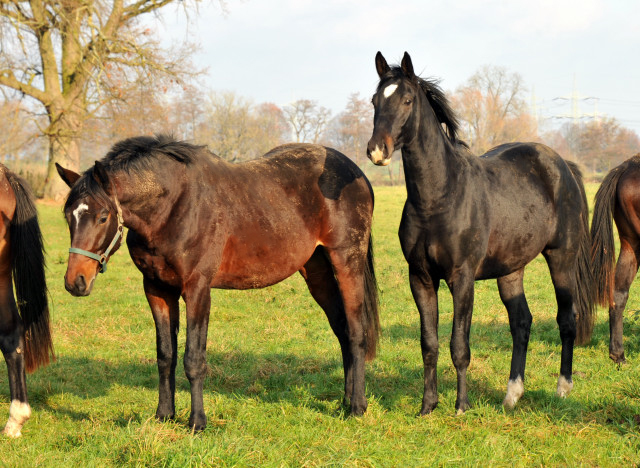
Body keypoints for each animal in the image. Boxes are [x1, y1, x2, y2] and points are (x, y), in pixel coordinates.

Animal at [56, 134, 380, 432]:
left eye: (102, 217)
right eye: (68, 217)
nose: (76, 282)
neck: (174, 206)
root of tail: (357, 173)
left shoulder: (197, 289)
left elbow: (193, 359)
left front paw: (197, 422)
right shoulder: (157, 289)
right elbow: (165, 355)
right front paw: (164, 415)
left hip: (346, 262)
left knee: (355, 332)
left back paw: (357, 406)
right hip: (318, 272)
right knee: (342, 331)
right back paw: (345, 399)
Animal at [368, 51, 596, 414]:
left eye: (406, 100)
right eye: (375, 101)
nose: (377, 150)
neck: (439, 197)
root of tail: (564, 167)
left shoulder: (461, 278)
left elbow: (459, 344)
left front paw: (461, 406)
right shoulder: (420, 278)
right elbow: (429, 343)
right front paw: (427, 406)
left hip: (561, 259)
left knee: (567, 320)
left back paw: (563, 388)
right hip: (511, 270)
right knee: (521, 323)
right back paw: (512, 394)